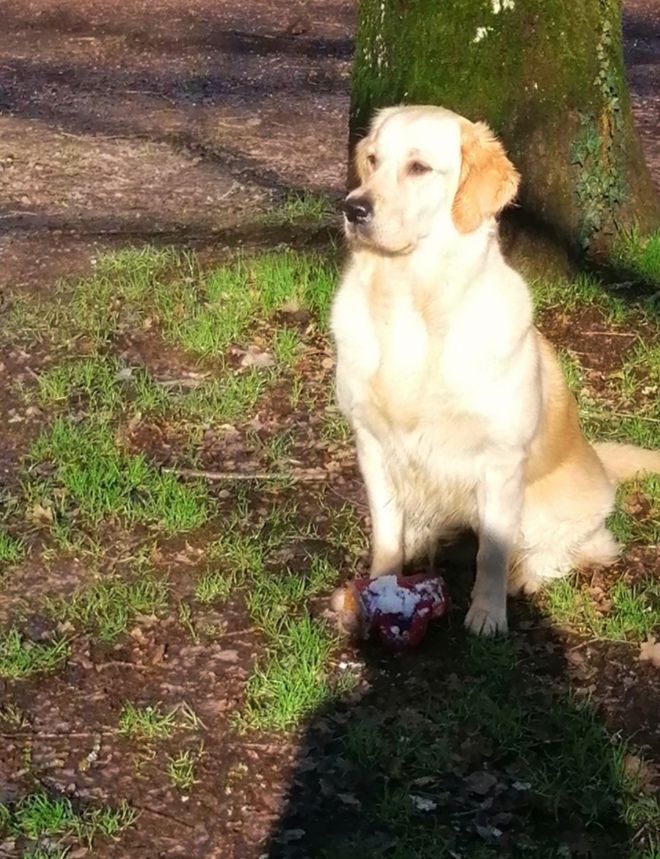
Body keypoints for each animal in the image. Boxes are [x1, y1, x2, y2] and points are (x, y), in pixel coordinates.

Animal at [332, 102, 660, 640]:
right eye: (373, 160)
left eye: (418, 167)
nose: (353, 208)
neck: (410, 302)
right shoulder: (372, 443)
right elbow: (387, 530)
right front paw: (376, 588)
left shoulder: (500, 461)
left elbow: (492, 552)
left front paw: (486, 614)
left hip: (551, 509)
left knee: (577, 549)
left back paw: (524, 577)